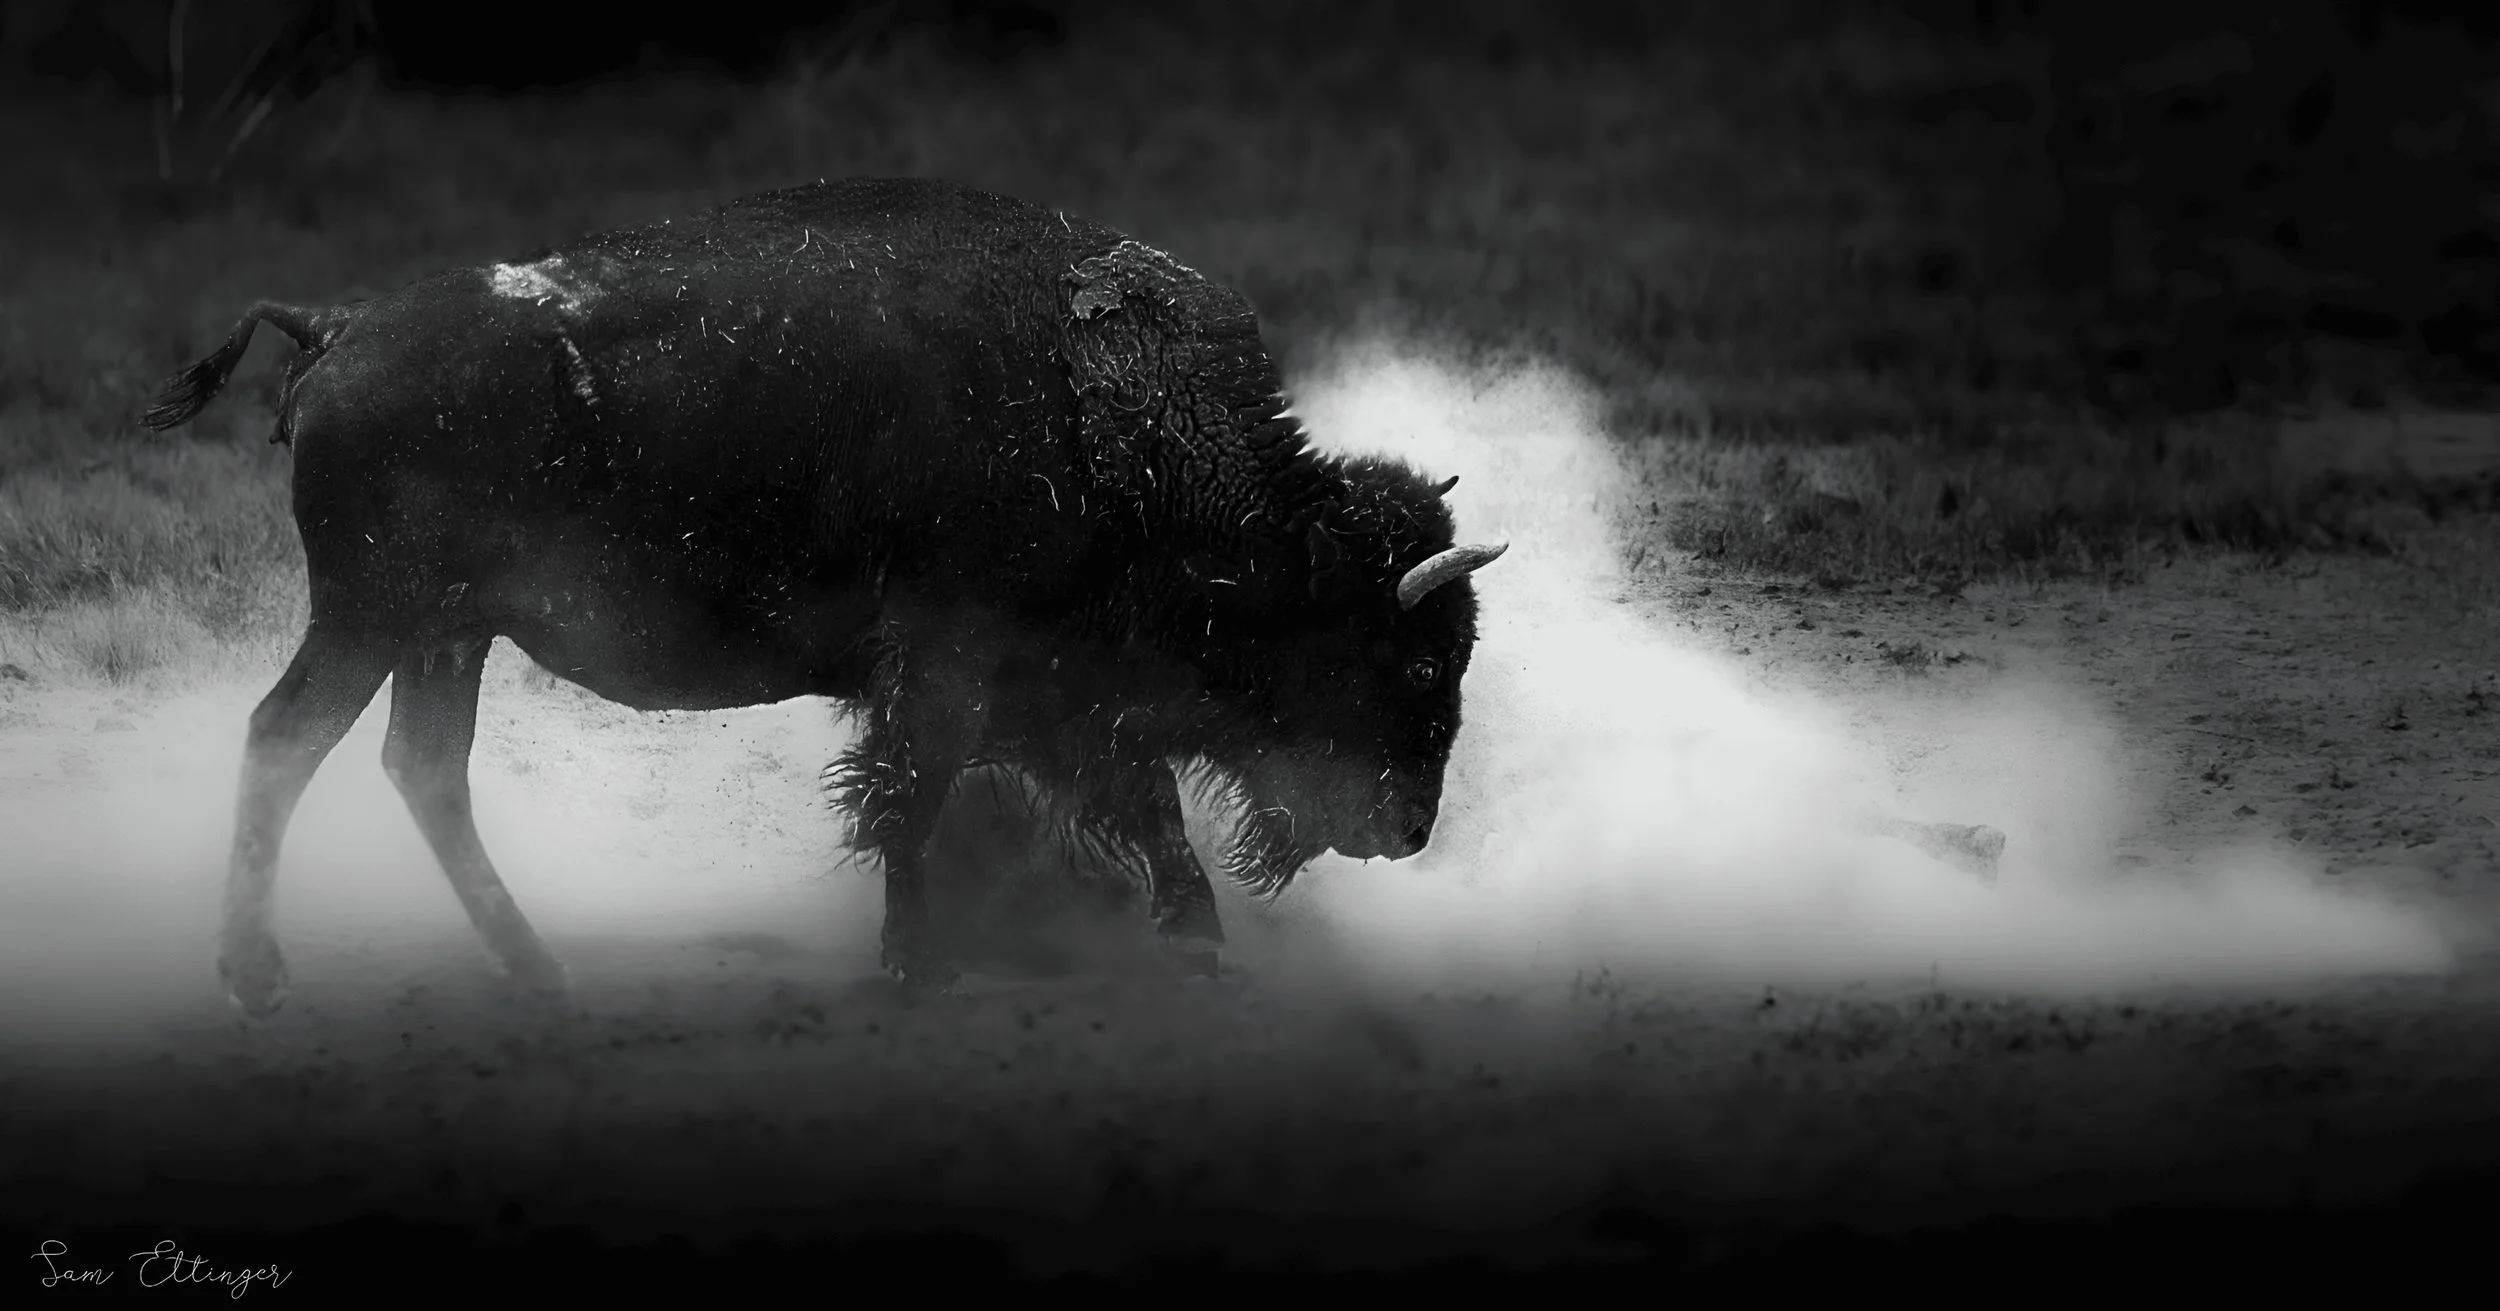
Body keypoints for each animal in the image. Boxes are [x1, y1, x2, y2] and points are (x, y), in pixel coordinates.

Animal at [142, 176, 1508, 1014]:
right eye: (1412, 660)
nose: (1408, 827)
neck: (1115, 429)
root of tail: (337, 330)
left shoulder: (1059, 698)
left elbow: (1141, 808)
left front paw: (1200, 947)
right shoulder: (952, 674)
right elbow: (914, 804)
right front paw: (914, 971)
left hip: (448, 634)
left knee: (420, 769)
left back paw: (540, 974)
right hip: (371, 618)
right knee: (286, 740)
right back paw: (260, 979)